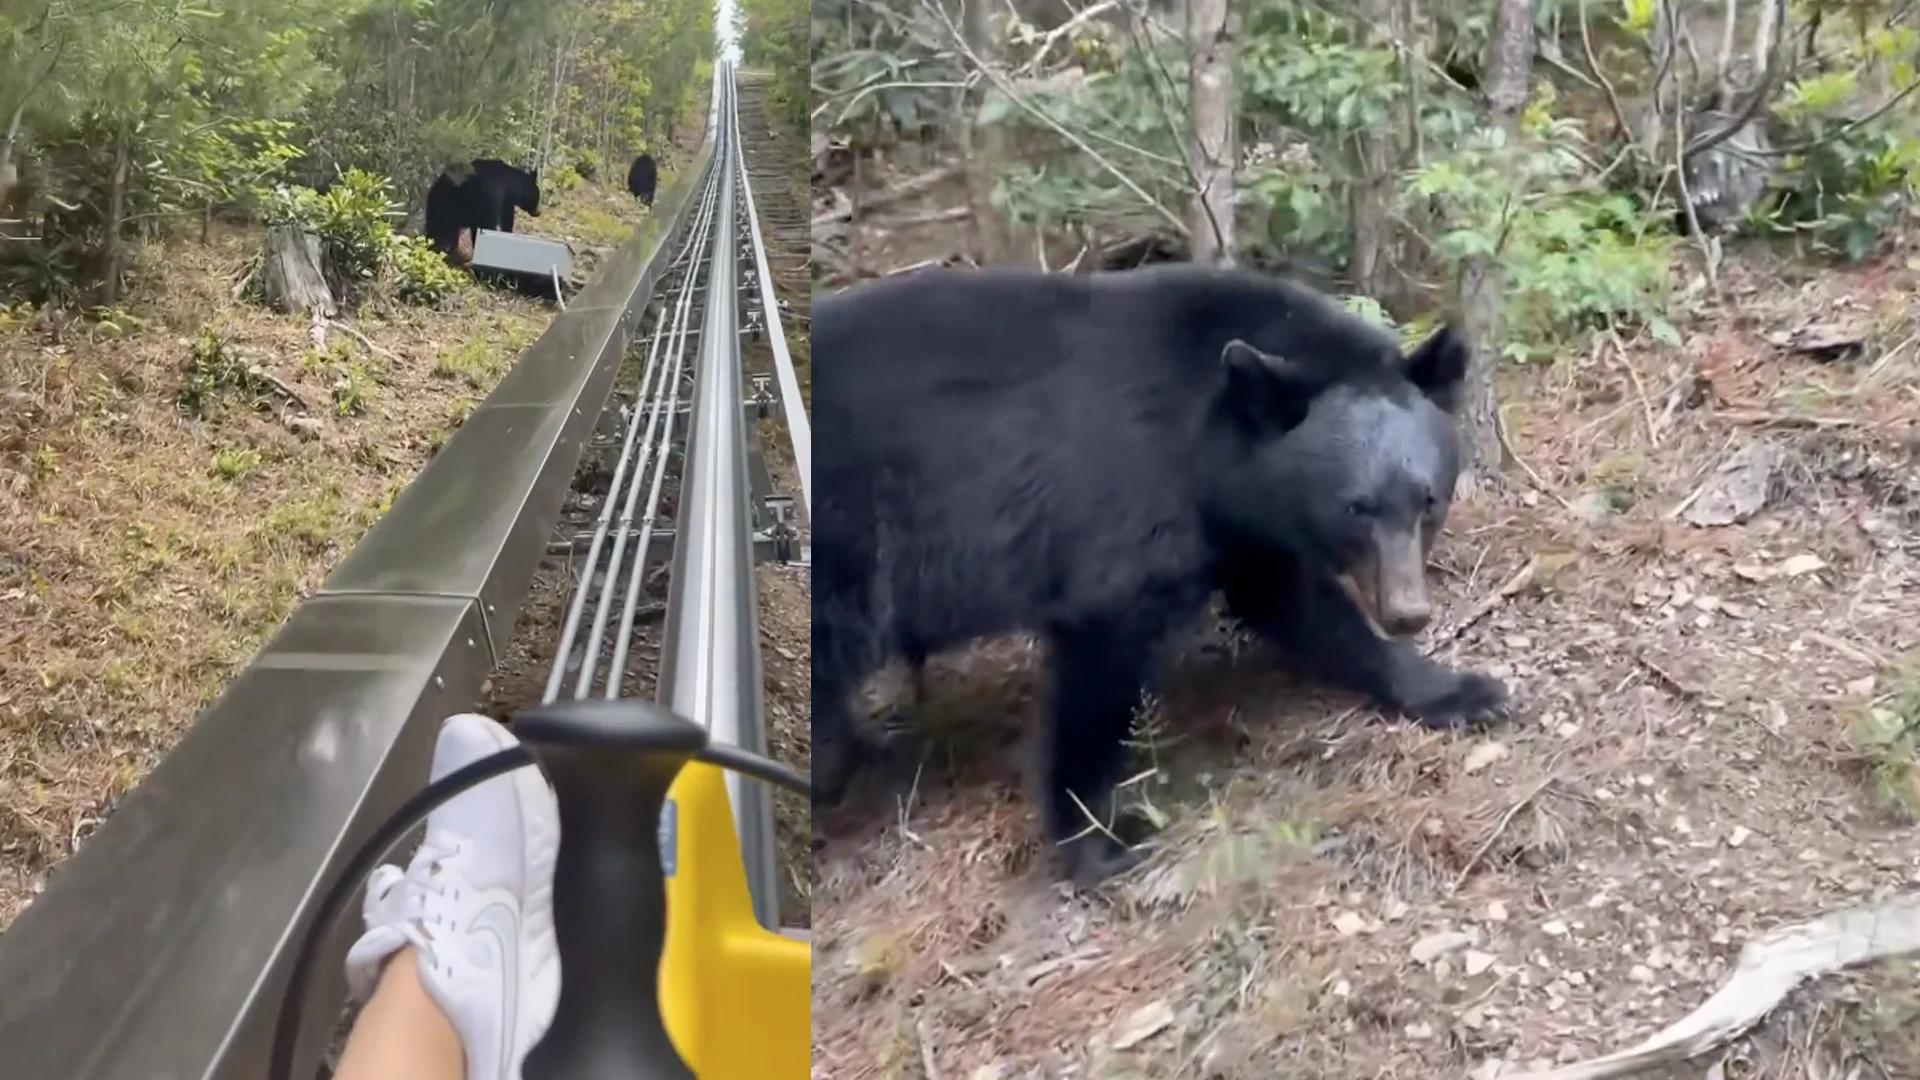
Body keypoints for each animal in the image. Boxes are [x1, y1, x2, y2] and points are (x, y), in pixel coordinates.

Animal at [811, 263, 1509, 886]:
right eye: (1355, 507)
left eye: (1427, 499)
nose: (1407, 611)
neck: (1206, 440)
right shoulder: (1122, 514)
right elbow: (1098, 672)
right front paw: (1100, 839)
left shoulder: (1235, 526)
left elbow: (1300, 604)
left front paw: (1459, 690)